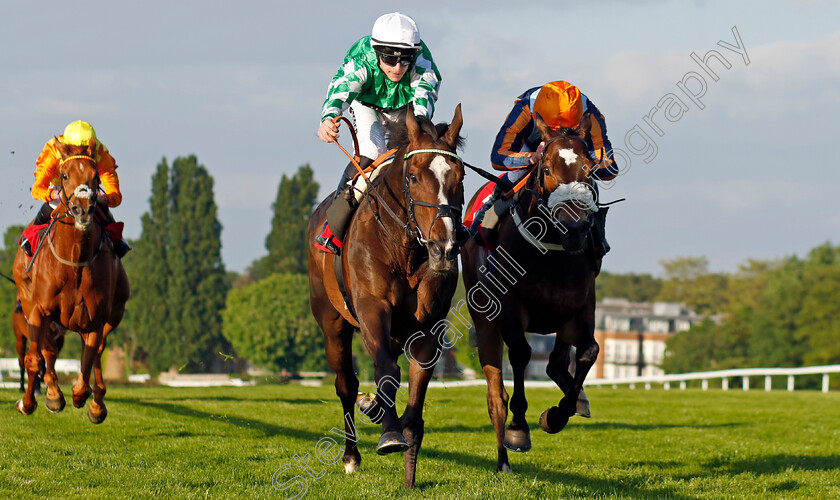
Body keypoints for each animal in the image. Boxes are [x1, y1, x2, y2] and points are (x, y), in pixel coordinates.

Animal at [13, 139, 130, 424]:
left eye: (96, 176)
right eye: (64, 175)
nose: (82, 209)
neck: (74, 261)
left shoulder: (97, 318)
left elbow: (87, 363)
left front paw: (84, 399)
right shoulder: (39, 311)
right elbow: (35, 359)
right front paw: (29, 402)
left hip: (115, 313)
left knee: (98, 351)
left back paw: (97, 401)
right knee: (46, 353)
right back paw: (52, 393)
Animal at [308, 104, 466, 488]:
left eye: (460, 176)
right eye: (414, 177)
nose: (444, 248)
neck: (404, 247)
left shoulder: (429, 327)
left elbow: (413, 398)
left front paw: (409, 472)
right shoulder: (372, 308)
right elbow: (384, 369)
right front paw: (389, 434)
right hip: (332, 323)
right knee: (346, 384)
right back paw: (351, 456)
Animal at [460, 112, 604, 472]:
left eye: (589, 169)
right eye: (548, 169)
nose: (576, 228)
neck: (550, 253)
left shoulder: (581, 308)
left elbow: (588, 352)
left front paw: (556, 415)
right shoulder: (511, 308)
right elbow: (522, 355)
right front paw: (518, 429)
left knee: (555, 364)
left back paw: (578, 400)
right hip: (483, 316)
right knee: (495, 394)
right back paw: (502, 460)